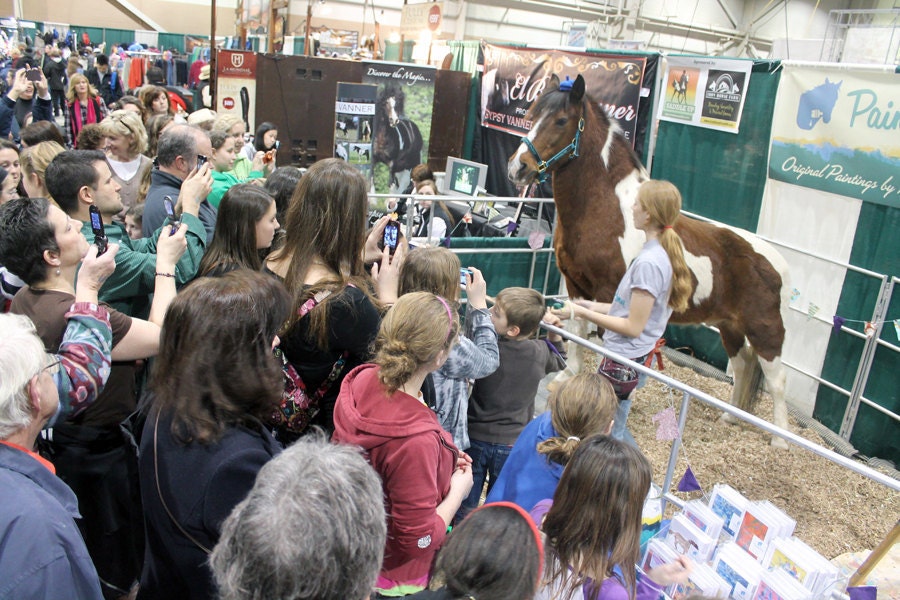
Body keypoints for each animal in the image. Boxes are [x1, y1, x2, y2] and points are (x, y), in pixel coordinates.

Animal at [507, 74, 791, 448]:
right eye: (531, 113)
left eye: (560, 120)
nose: (517, 167)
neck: (604, 209)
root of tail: (776, 261)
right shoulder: (575, 283)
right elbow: (578, 327)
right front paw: (568, 374)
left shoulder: (610, 291)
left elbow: (608, 345)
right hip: (730, 326)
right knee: (743, 365)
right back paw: (731, 416)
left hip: (765, 328)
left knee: (777, 379)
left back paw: (781, 440)